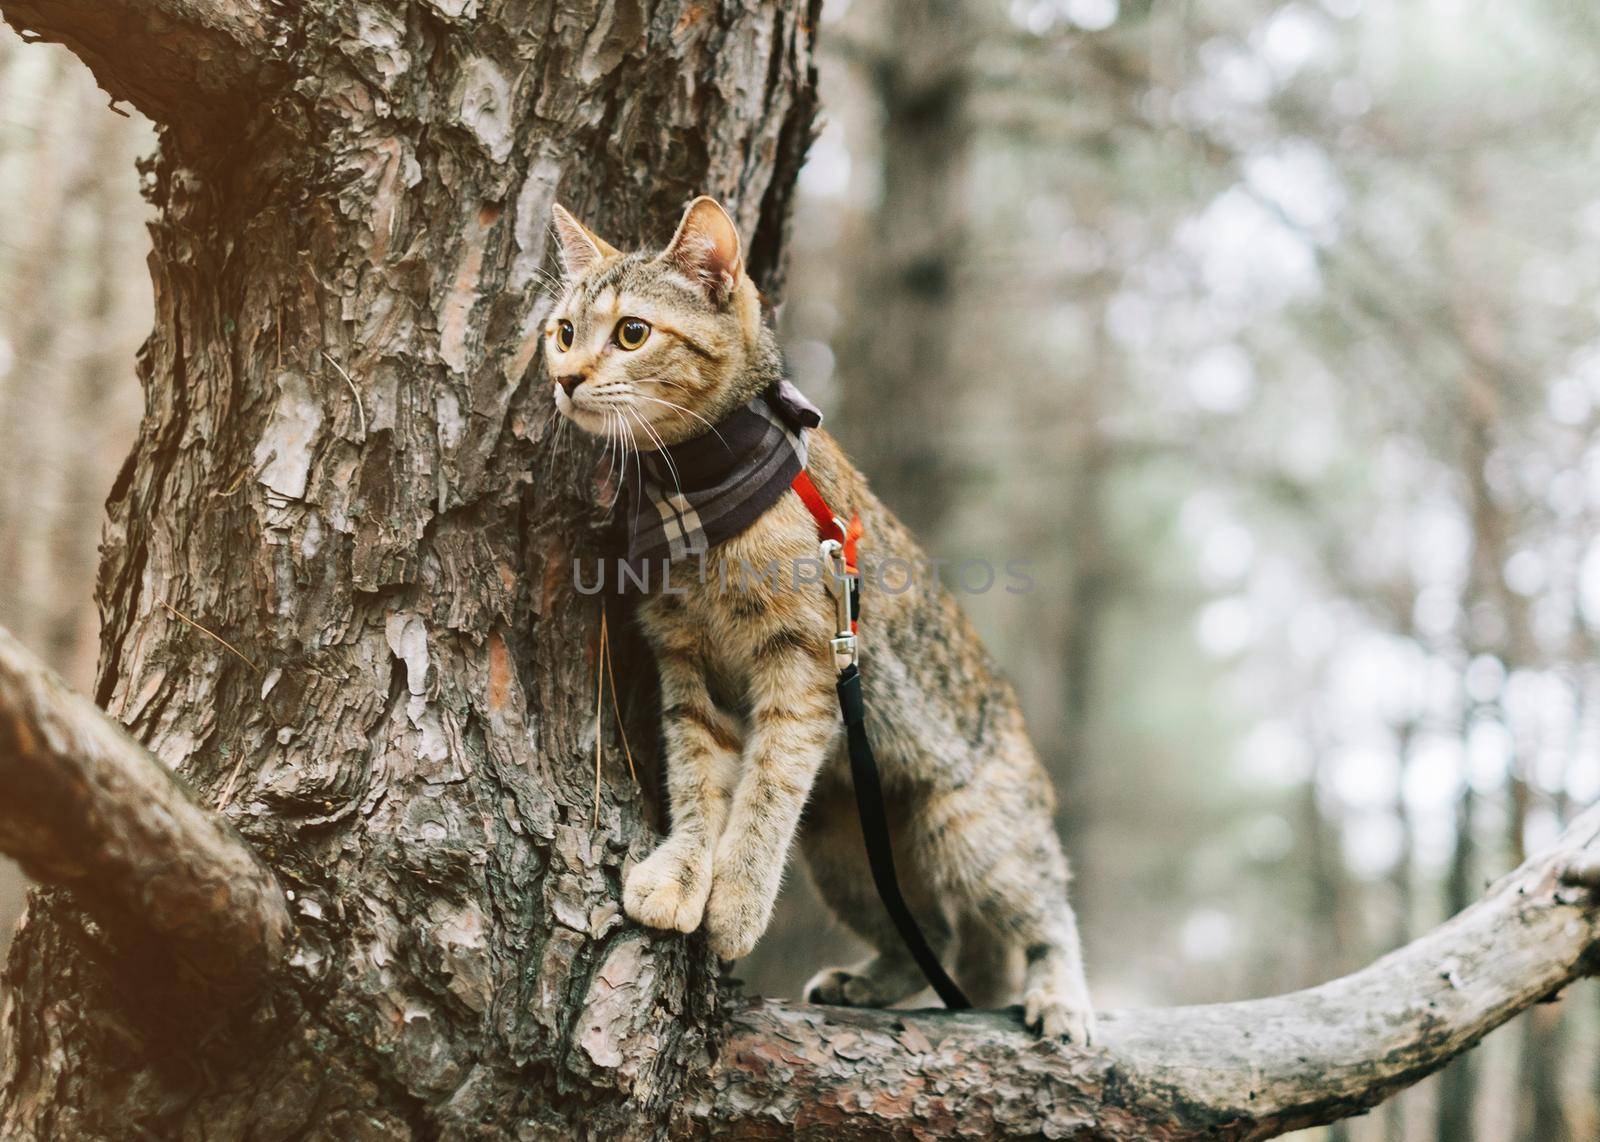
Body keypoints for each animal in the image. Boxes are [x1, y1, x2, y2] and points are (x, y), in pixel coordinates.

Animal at [544, 198, 1094, 1042]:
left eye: (632, 333)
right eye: (564, 331)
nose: (566, 378)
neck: (693, 492)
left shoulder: (801, 665)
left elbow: (767, 794)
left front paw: (737, 899)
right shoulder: (687, 663)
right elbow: (698, 778)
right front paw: (684, 868)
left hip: (973, 833)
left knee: (1043, 910)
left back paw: (1061, 994)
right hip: (847, 849)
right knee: (929, 934)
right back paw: (868, 981)